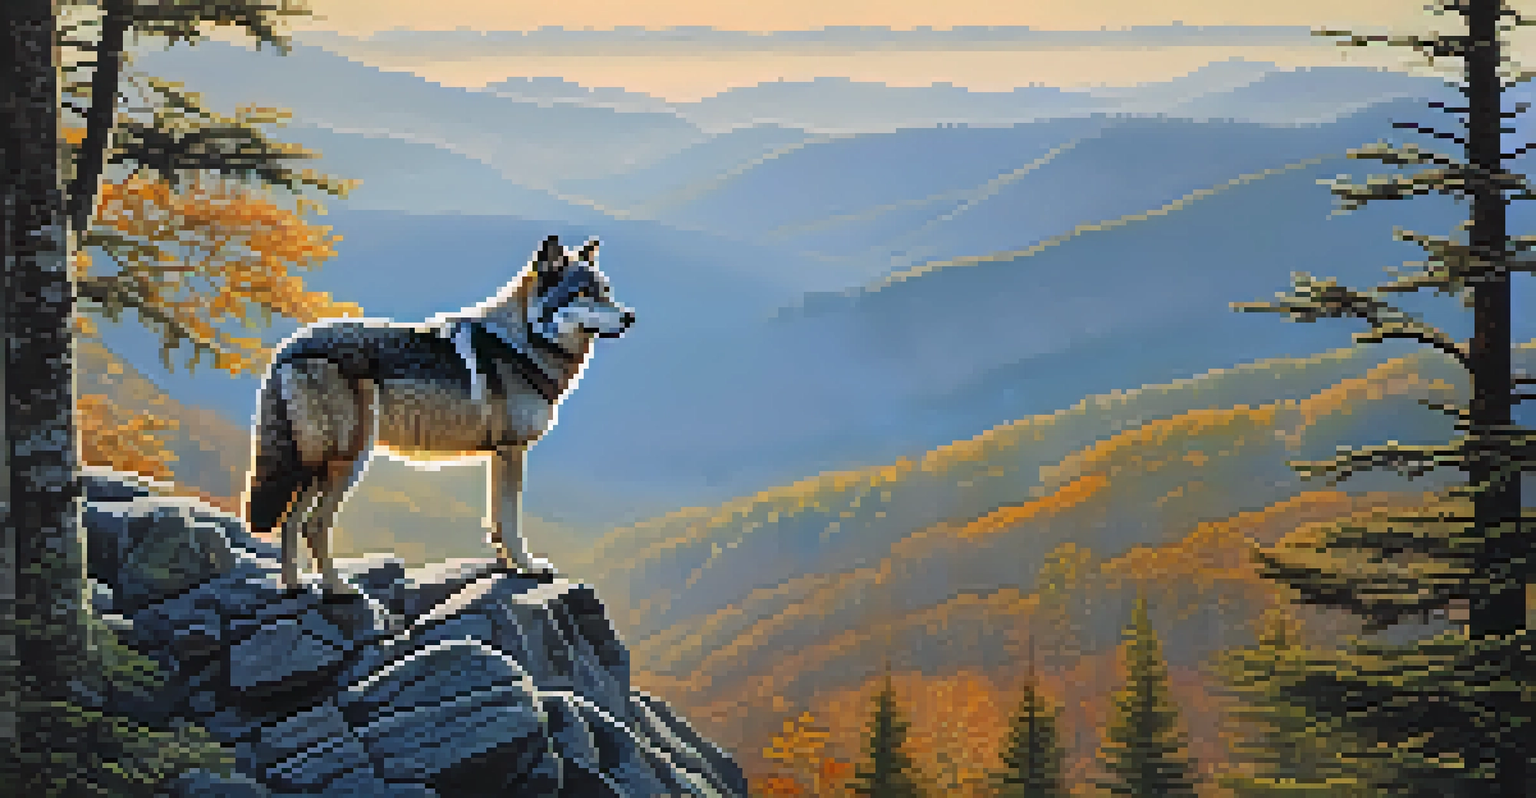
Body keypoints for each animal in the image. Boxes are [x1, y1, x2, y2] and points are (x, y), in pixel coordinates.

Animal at [243, 235, 634, 593]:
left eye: (606, 291)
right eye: (584, 293)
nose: (630, 317)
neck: (524, 344)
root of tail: (286, 349)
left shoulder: (499, 455)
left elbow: (496, 521)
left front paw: (506, 566)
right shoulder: (512, 452)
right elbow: (510, 522)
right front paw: (527, 568)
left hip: (317, 465)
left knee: (290, 521)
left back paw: (293, 586)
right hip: (347, 461)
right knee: (313, 524)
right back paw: (338, 589)